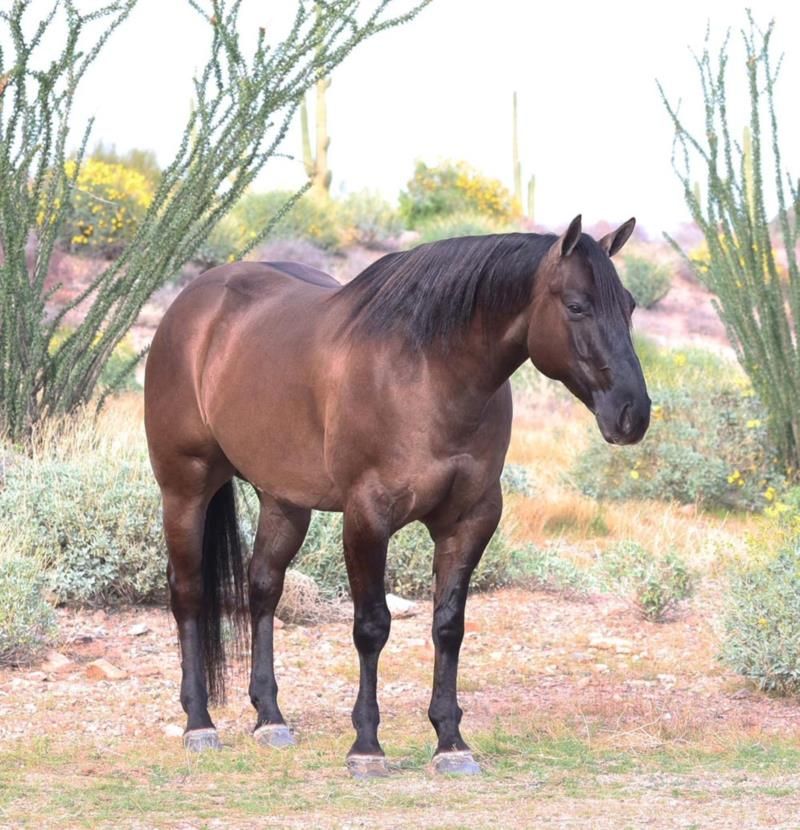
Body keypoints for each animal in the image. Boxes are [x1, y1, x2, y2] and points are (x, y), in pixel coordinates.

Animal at [143, 214, 650, 777]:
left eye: (629, 305)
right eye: (577, 305)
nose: (633, 414)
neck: (428, 373)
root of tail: (194, 301)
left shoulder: (471, 519)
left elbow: (448, 627)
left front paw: (451, 742)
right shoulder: (368, 516)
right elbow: (372, 626)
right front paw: (366, 746)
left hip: (285, 502)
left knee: (263, 589)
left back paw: (270, 719)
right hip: (185, 486)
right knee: (188, 593)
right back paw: (199, 724)